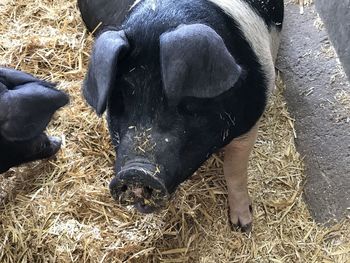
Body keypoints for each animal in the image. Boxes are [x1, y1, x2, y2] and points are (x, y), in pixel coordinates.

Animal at [78, 0, 284, 231]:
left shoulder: (250, 122)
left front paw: (243, 226)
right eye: (119, 100)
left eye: (188, 104)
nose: (136, 172)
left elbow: (234, 170)